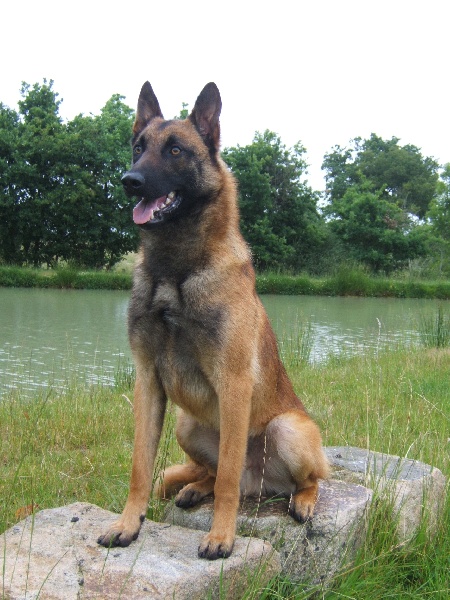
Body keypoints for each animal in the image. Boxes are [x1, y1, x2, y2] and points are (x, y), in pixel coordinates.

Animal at [97, 82, 330, 560]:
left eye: (175, 150)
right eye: (138, 148)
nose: (130, 181)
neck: (175, 270)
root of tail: (262, 486)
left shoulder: (234, 381)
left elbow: (226, 479)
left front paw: (222, 536)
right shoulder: (148, 381)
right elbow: (140, 468)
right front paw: (128, 525)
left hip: (287, 429)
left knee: (298, 479)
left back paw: (303, 500)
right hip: (187, 424)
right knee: (214, 474)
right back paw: (193, 489)